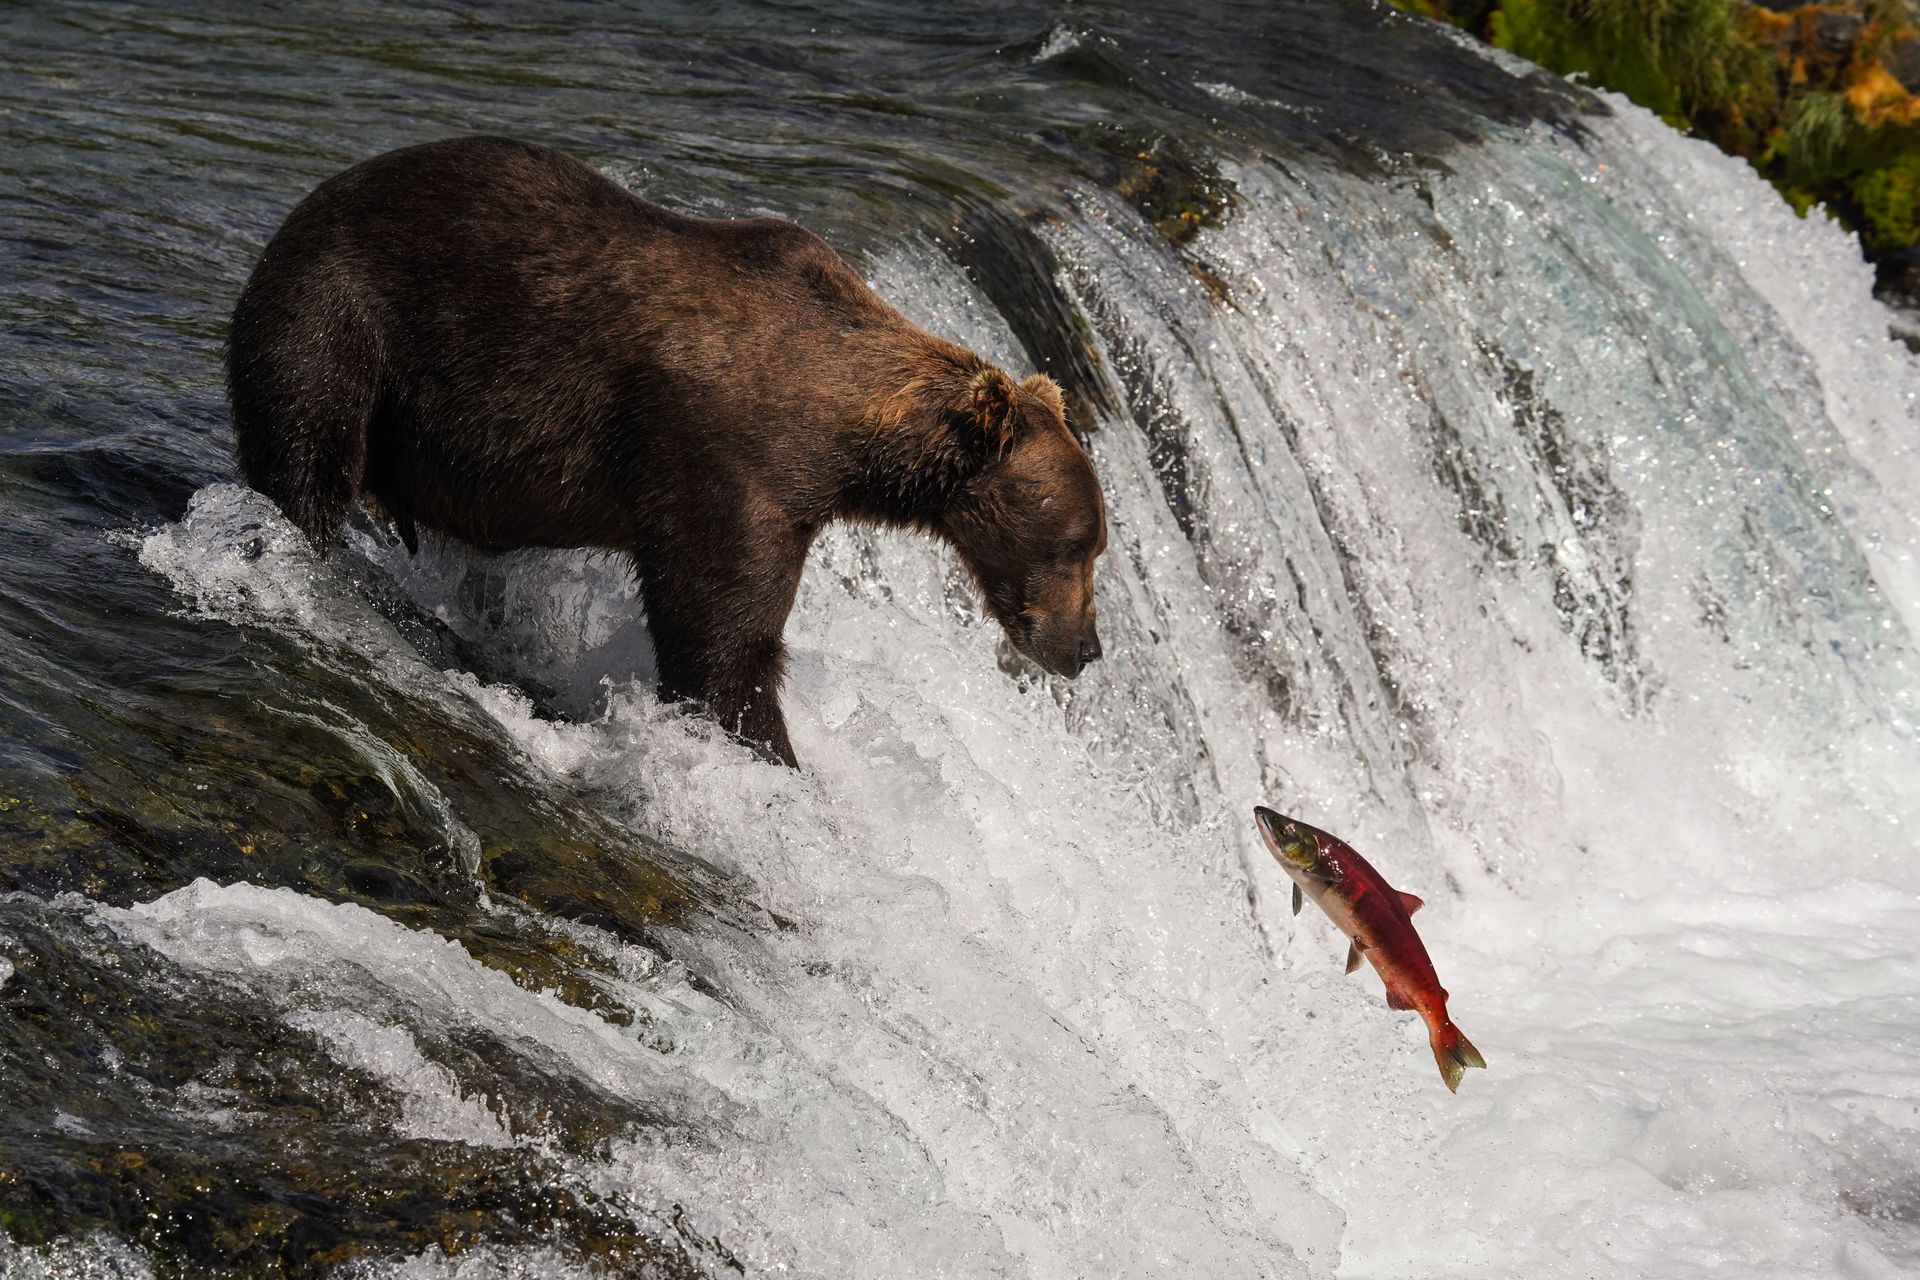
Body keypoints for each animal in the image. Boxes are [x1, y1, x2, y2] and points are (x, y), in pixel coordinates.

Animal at [227, 136, 1107, 767]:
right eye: (1078, 544)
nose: (1087, 650)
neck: (842, 430)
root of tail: (305, 205)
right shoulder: (725, 463)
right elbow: (722, 636)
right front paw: (768, 750)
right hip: (343, 321)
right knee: (307, 451)